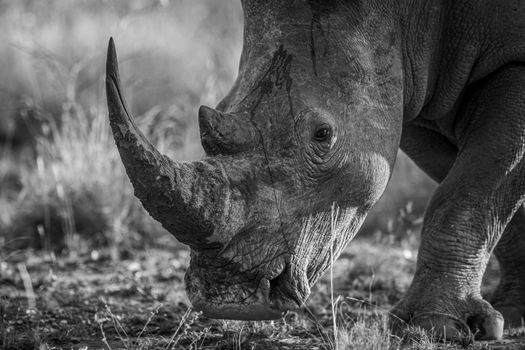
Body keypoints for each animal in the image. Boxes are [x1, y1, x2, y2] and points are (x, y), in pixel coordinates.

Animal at [104, 0, 524, 344]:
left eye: (323, 135)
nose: (227, 302)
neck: (407, 13)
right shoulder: (414, 85)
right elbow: (481, 191)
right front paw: (513, 312)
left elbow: (466, 195)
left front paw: (435, 329)